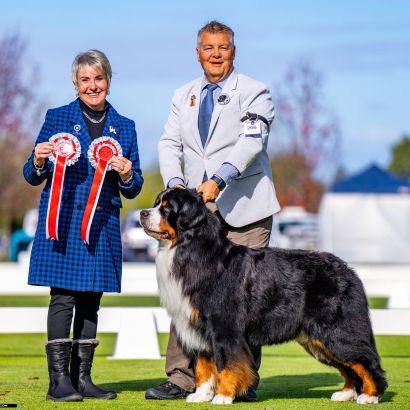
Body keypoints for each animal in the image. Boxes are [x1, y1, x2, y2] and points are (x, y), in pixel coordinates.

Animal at [140, 190, 388, 406]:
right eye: (156, 203)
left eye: (167, 208)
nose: (142, 213)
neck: (192, 250)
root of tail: (348, 269)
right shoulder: (199, 326)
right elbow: (203, 365)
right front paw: (201, 395)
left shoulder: (224, 327)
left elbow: (226, 365)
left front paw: (223, 396)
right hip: (318, 339)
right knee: (349, 367)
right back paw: (346, 394)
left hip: (337, 332)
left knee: (366, 362)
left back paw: (370, 396)